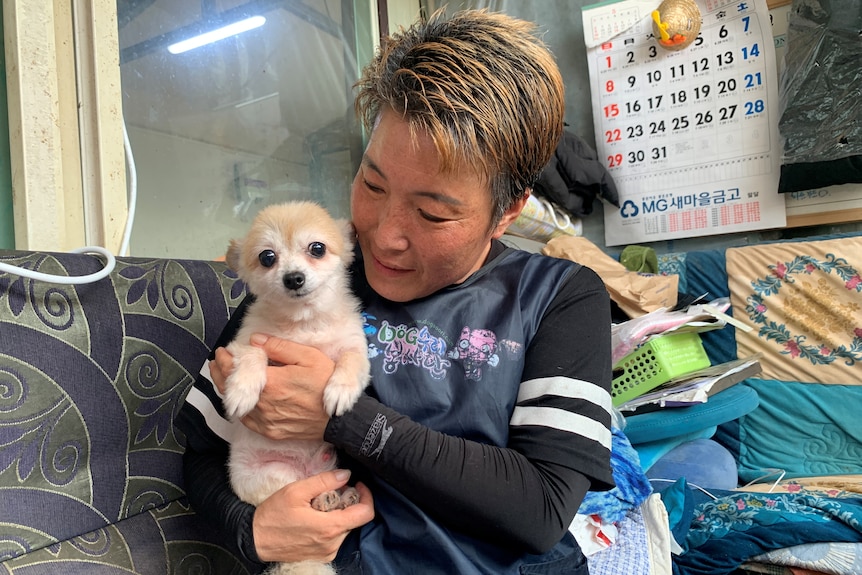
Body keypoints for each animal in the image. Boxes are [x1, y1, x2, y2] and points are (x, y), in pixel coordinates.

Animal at [223, 199, 372, 575]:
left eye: (317, 249)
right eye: (267, 257)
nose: (293, 278)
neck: (305, 324)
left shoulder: (354, 347)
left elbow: (351, 362)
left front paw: (339, 391)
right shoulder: (246, 343)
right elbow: (254, 355)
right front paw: (242, 391)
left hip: (329, 468)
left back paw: (340, 497)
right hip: (278, 477)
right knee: (300, 491)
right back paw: (325, 500)